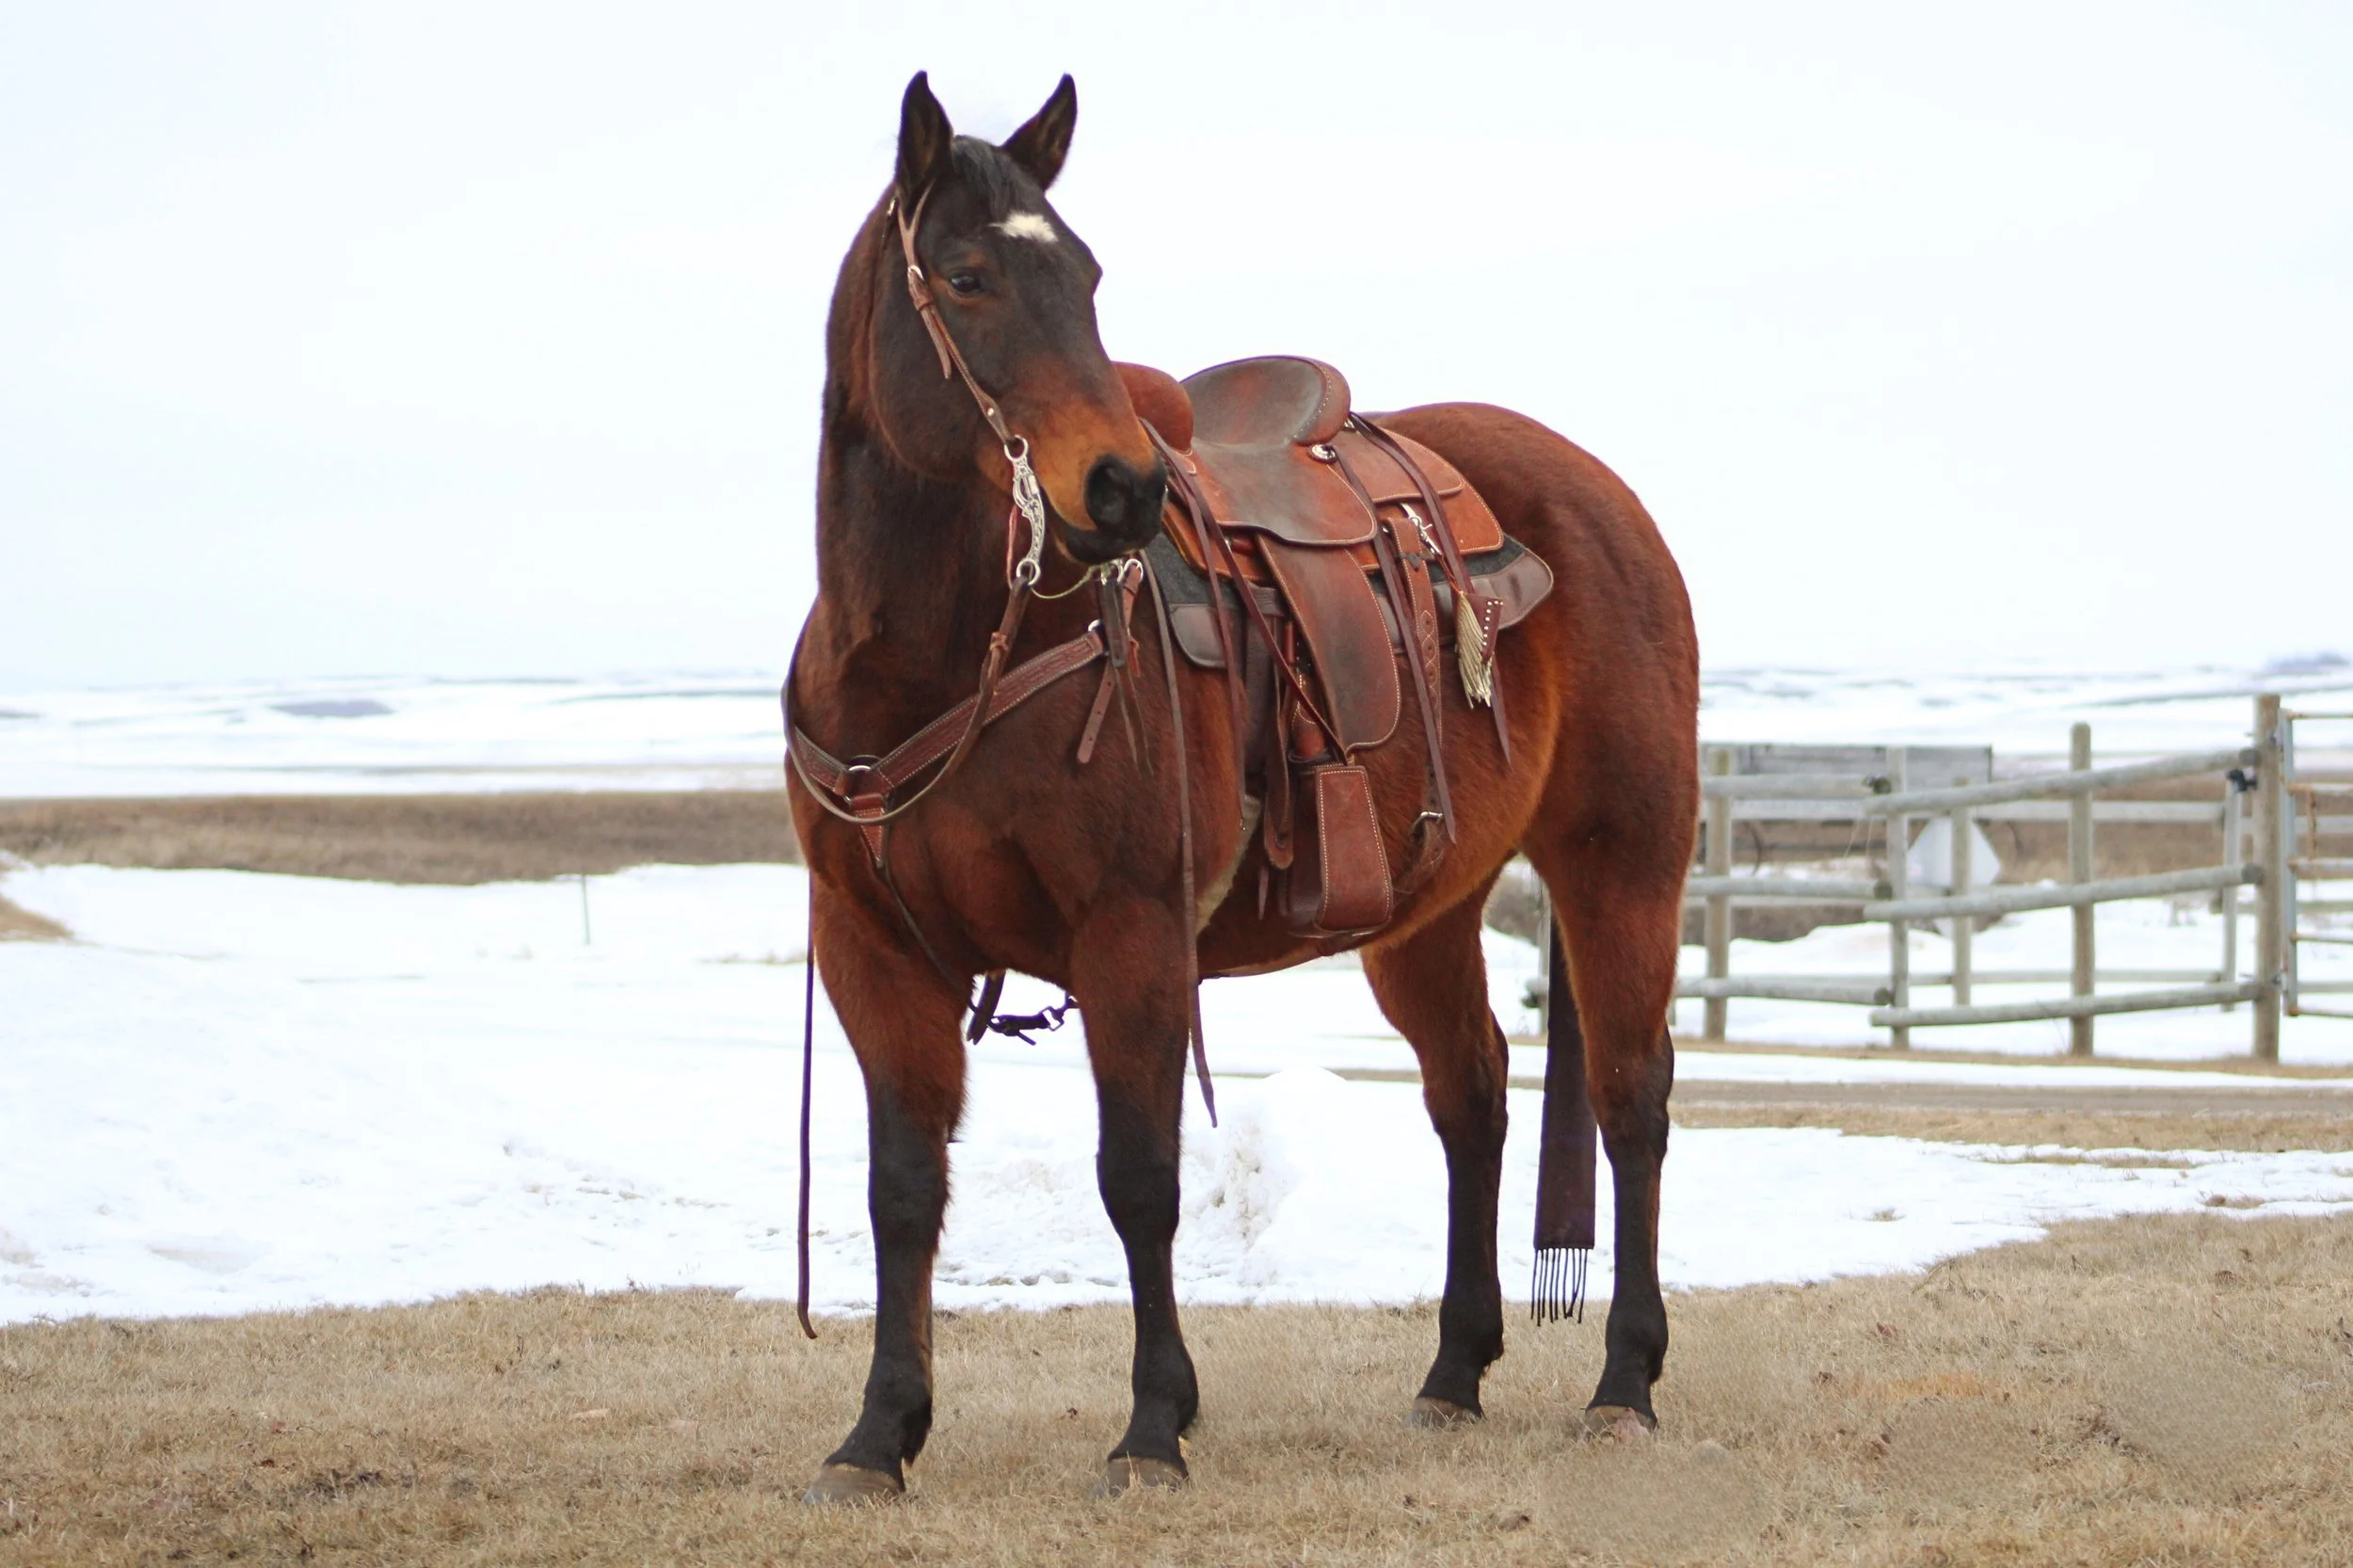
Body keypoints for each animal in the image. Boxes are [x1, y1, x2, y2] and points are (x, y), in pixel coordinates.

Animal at [783, 71, 1698, 1504]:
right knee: (1473, 1095)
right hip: (1423, 913)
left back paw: (1625, 1382)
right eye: (969, 275)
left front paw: (1154, 1424)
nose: (1122, 486)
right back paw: (1453, 1372)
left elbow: (1141, 1177)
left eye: (1087, 274)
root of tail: (1595, 491)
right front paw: (880, 1433)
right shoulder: (875, 953)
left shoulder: (1131, 937)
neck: (932, 661)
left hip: (1623, 866)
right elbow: (901, 1190)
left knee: (1628, 1096)